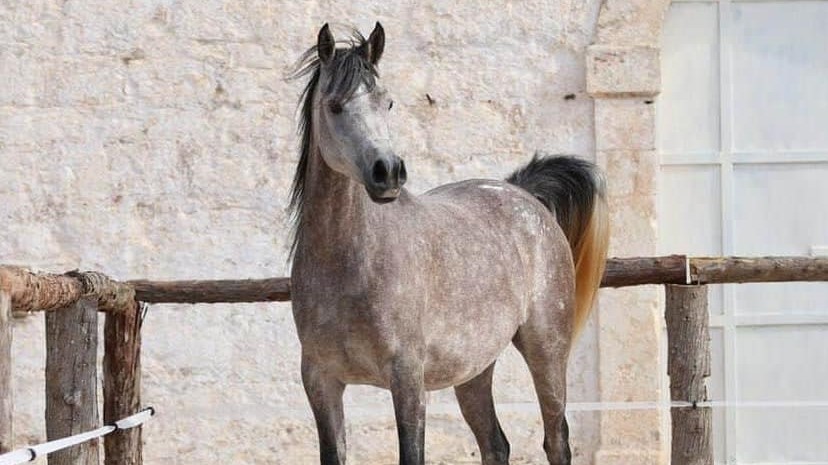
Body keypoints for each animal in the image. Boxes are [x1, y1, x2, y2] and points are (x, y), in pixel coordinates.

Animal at [288, 22, 610, 465]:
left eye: (387, 102)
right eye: (334, 106)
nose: (388, 172)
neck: (351, 265)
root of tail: (521, 193)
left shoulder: (407, 378)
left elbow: (412, 453)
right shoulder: (321, 381)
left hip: (547, 348)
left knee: (556, 439)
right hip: (474, 366)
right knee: (495, 443)